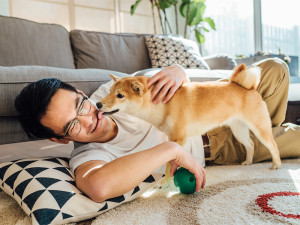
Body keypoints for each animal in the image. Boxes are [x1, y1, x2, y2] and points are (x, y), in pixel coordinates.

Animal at [96, 63, 282, 183]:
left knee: (273, 145)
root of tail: (248, 88)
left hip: (259, 128)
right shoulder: (173, 139)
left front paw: (166, 182)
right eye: (109, 92)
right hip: (239, 130)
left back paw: (276, 165)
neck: (163, 104)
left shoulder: (178, 138)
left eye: (120, 95)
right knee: (250, 144)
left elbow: (170, 163)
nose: (98, 104)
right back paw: (248, 162)